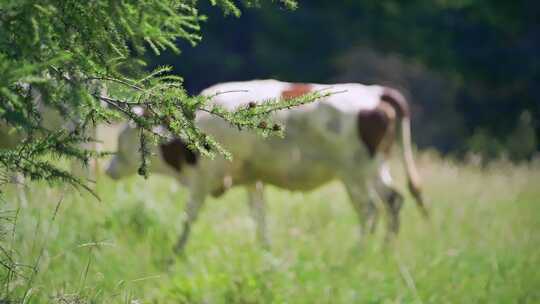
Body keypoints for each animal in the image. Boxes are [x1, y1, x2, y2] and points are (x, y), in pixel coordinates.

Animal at [104, 79, 426, 253]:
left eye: (125, 137)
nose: (108, 168)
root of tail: (376, 92)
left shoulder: (204, 177)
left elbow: (189, 215)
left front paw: (176, 252)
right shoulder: (252, 179)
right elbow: (259, 216)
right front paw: (265, 251)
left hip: (355, 173)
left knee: (370, 210)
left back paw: (357, 254)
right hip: (376, 169)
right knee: (393, 201)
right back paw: (383, 252)